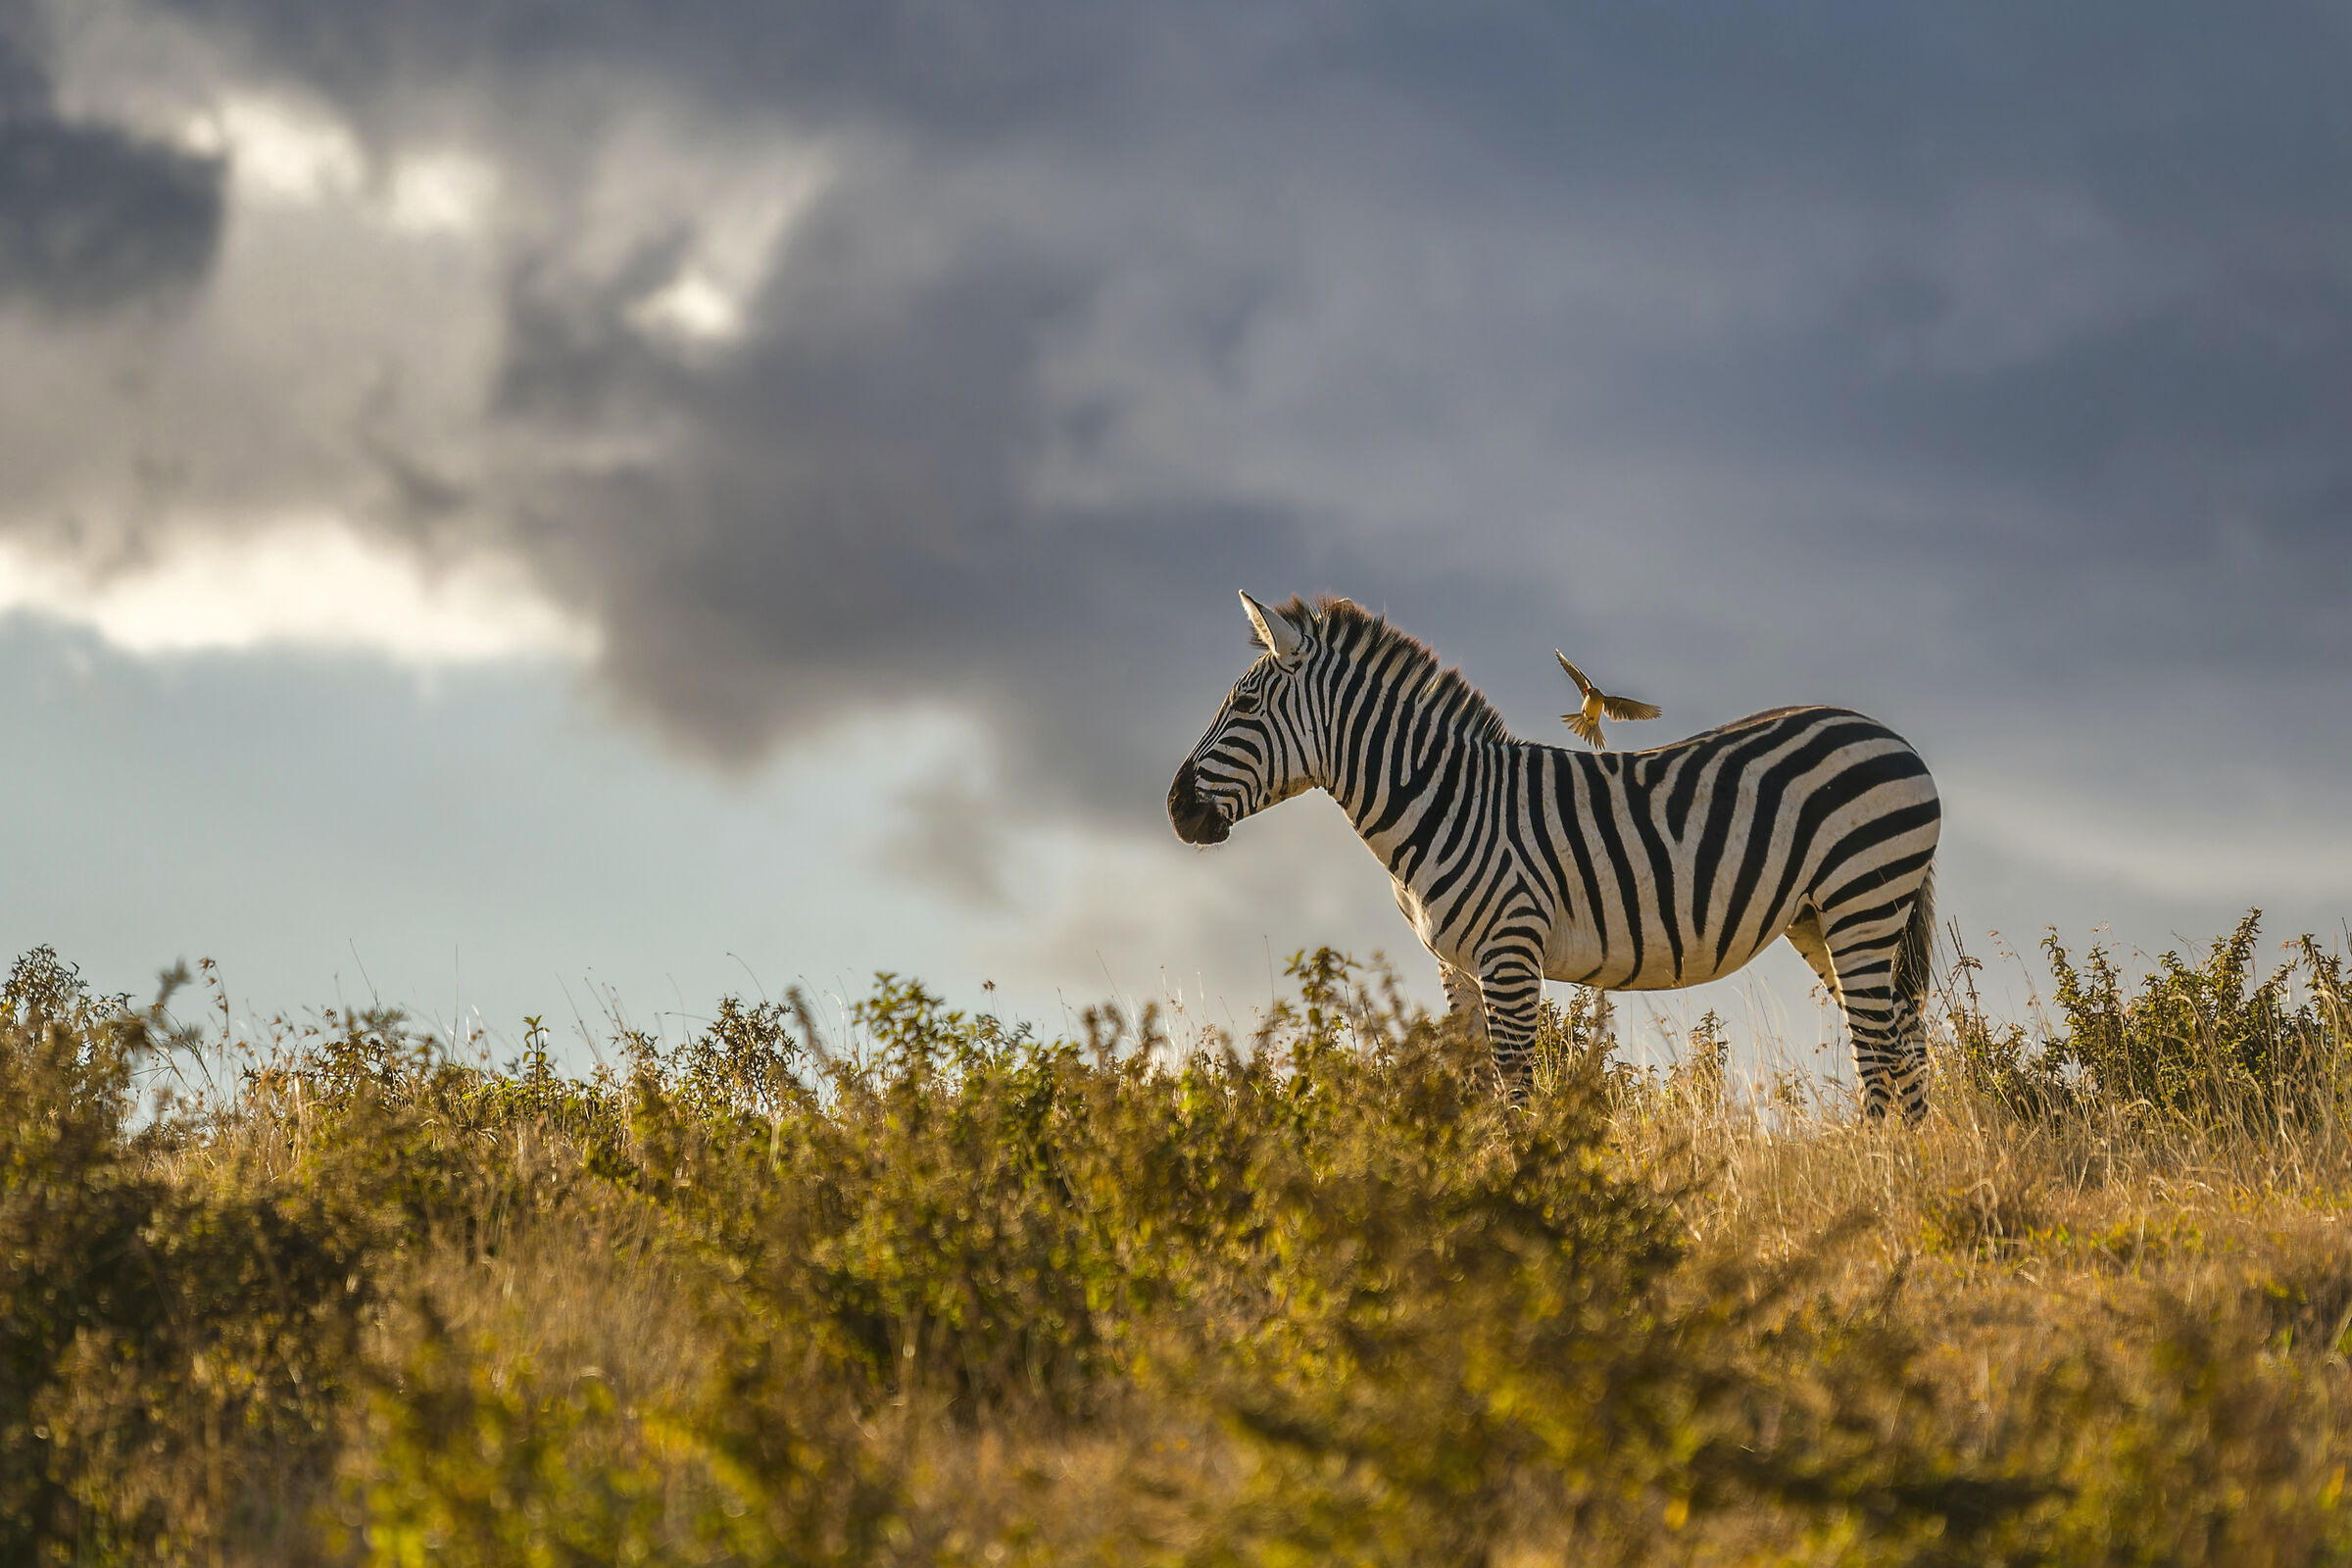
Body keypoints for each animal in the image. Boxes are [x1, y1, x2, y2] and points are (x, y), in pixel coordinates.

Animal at [1167, 592, 1943, 1120]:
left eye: (1244, 706)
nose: (1174, 808)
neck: (1442, 797)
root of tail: (1892, 736)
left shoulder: (1511, 949)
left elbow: (1516, 1081)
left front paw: (1527, 1192)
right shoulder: (1455, 964)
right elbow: (1475, 1078)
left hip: (1862, 899)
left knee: (1878, 1045)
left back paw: (1878, 1171)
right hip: (1821, 917)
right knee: (1905, 1042)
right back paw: (1913, 1166)